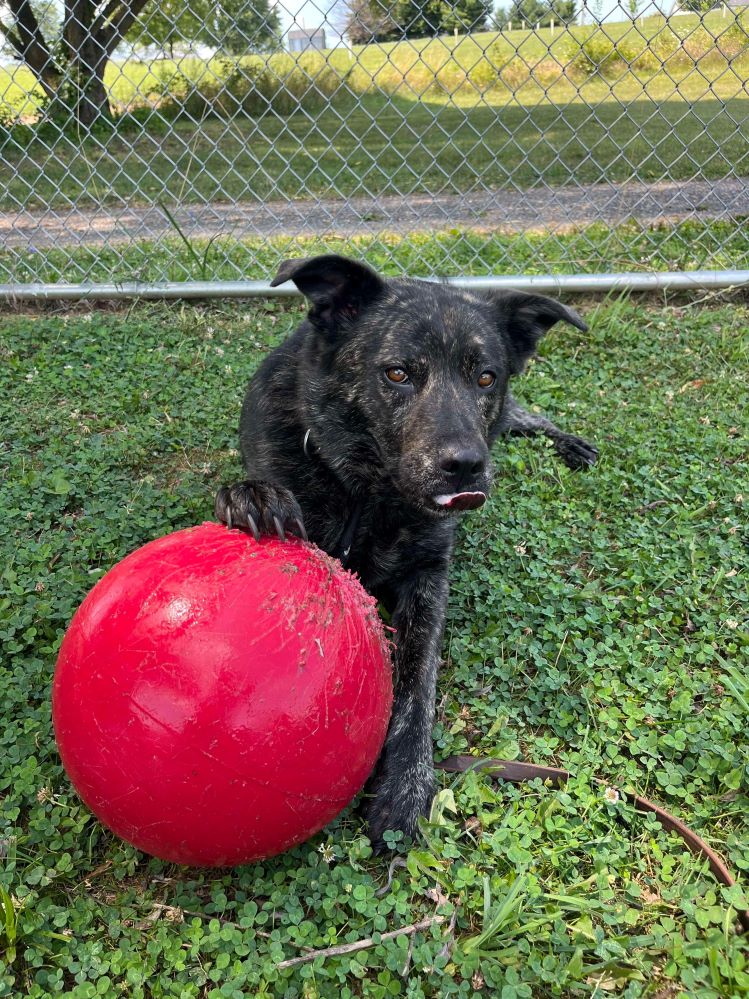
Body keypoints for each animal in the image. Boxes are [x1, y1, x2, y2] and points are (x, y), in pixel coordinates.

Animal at [216, 252, 596, 852]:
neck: (369, 491)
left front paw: (406, 783)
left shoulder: (428, 575)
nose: (466, 465)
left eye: (485, 376)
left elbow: (419, 683)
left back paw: (570, 443)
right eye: (397, 374)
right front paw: (250, 496)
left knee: (526, 416)